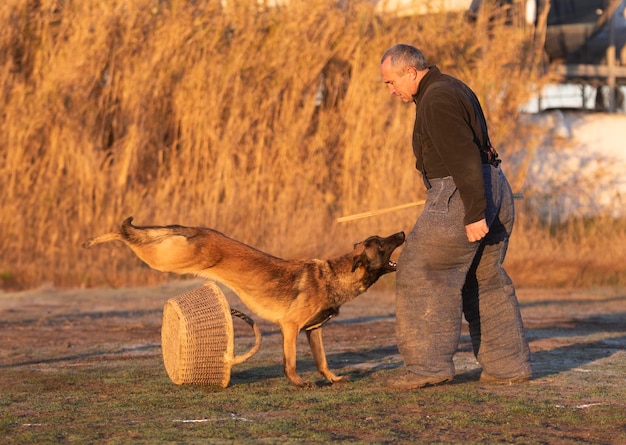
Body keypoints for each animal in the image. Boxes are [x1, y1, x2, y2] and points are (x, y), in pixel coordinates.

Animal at [83, 217, 404, 386]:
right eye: (380, 243)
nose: (402, 232)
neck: (335, 276)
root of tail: (197, 229)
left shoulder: (314, 331)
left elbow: (323, 361)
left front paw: (334, 379)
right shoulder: (290, 328)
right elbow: (290, 362)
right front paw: (298, 383)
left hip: (167, 255)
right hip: (165, 260)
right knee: (125, 234)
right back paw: (97, 239)